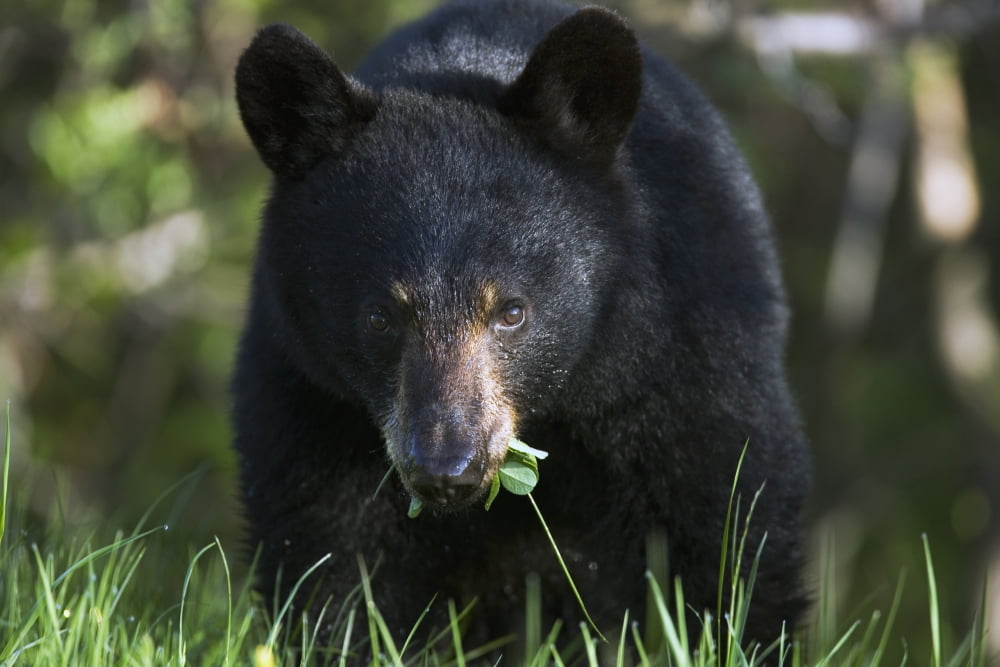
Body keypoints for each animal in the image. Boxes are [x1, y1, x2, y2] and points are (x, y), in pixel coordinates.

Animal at [231, 0, 810, 657]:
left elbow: (730, 524)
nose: (446, 470)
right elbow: (329, 560)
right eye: (380, 317)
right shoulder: (312, 398)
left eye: (511, 311)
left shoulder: (682, 349)